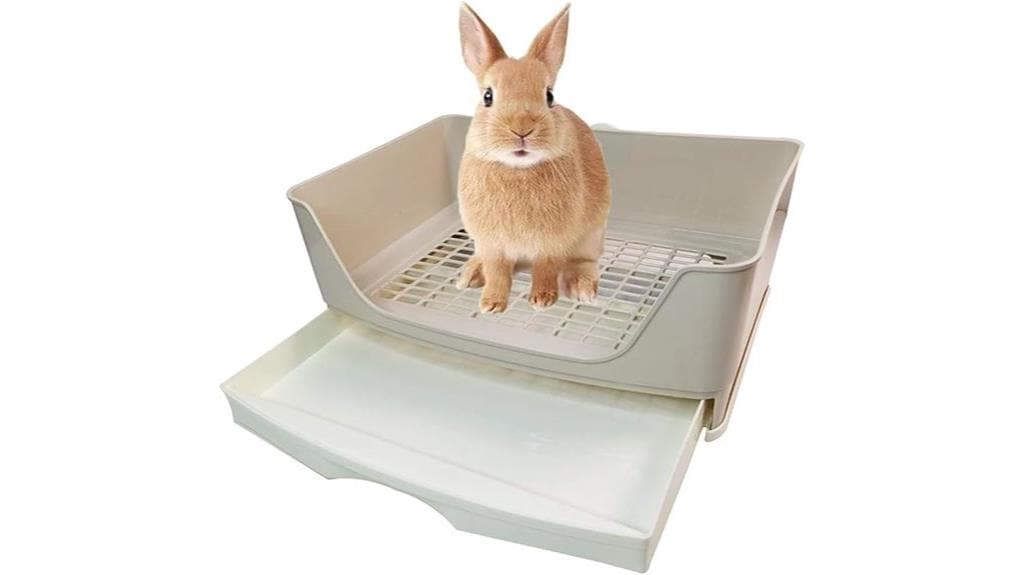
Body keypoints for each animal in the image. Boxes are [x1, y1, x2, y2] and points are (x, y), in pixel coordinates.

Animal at [455, 3, 611, 314]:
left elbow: (546, 269)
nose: (522, 128)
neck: (517, 169)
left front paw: (542, 300)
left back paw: (581, 287)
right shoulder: (491, 245)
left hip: (591, 235)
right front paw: (491, 304)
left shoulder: (551, 244)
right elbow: (497, 273)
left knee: (583, 261)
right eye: (488, 96)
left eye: (549, 96)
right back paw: (470, 274)